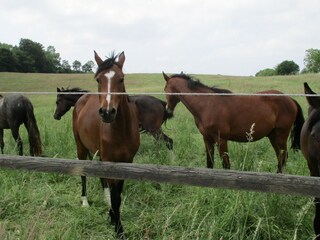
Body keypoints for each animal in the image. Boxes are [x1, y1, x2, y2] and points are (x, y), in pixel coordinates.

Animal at [72, 51, 140, 238]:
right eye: (98, 79)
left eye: (121, 79)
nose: (107, 112)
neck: (121, 130)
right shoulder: (110, 160)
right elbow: (115, 197)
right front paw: (119, 230)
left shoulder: (127, 162)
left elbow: (117, 195)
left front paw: (113, 218)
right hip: (80, 147)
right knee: (83, 174)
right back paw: (85, 202)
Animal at [164, 72, 304, 173]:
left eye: (166, 89)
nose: (168, 111)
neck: (208, 104)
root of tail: (290, 99)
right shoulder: (207, 139)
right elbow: (210, 162)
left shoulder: (221, 140)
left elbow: (226, 164)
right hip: (273, 136)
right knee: (280, 157)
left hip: (281, 135)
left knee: (283, 156)